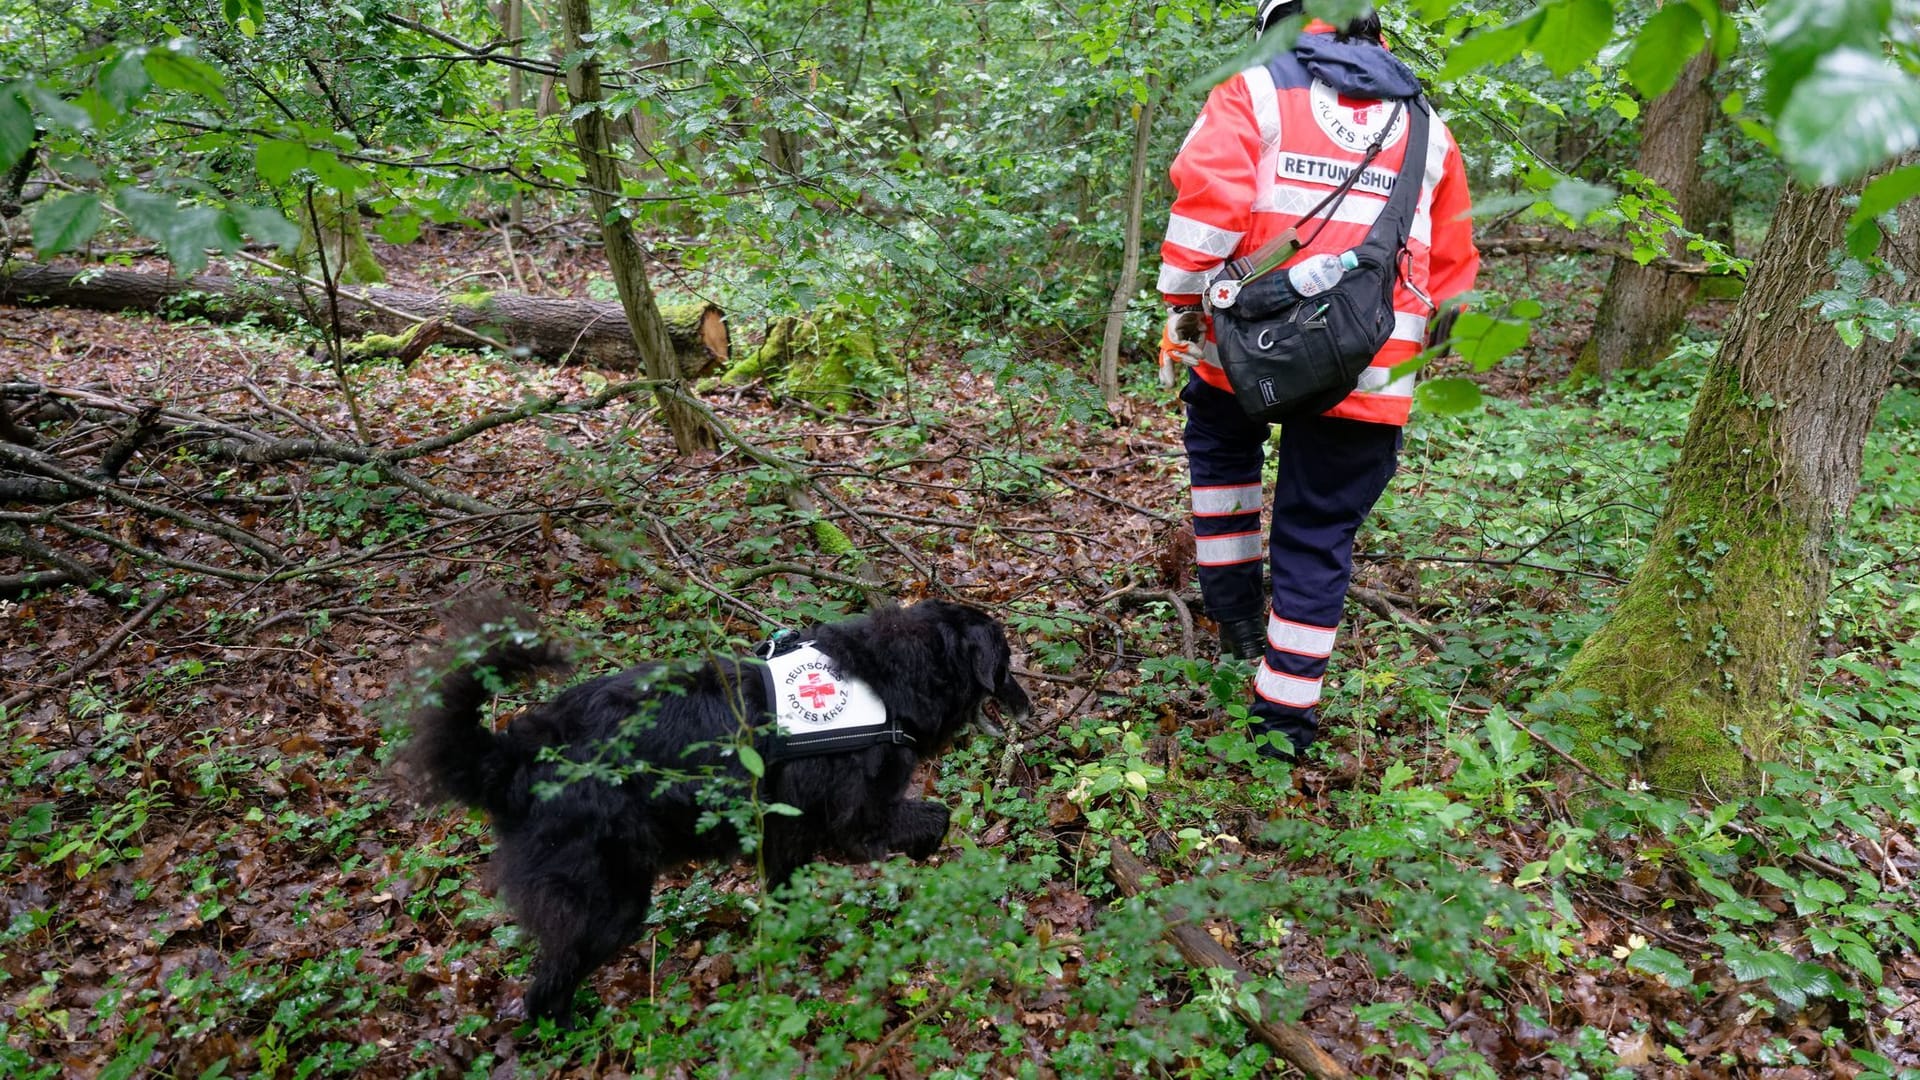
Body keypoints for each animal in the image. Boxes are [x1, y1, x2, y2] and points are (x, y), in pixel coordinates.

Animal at [397, 591, 1029, 1022]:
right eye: (1006, 663)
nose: (1028, 705)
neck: (892, 674)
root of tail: (516, 756)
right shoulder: (859, 818)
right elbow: (934, 820)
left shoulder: (785, 836)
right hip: (611, 902)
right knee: (545, 992)